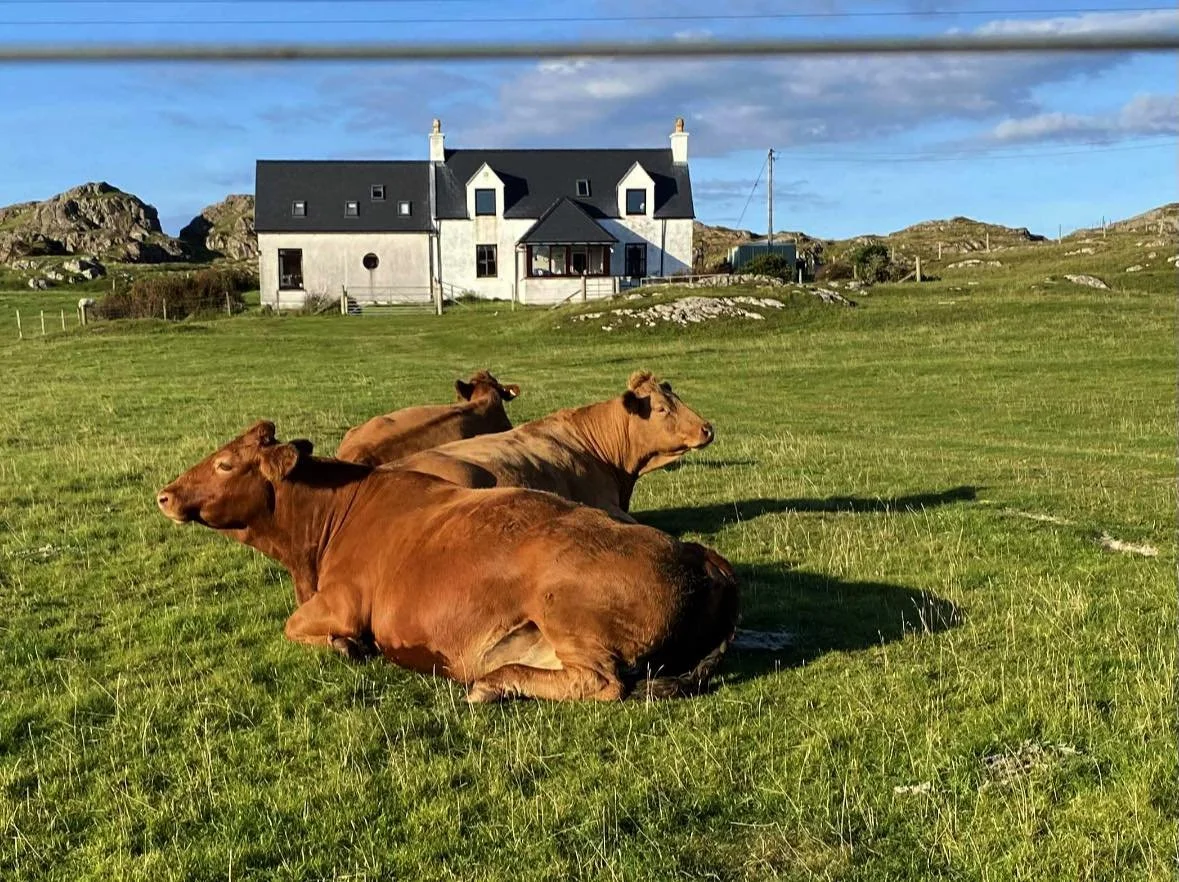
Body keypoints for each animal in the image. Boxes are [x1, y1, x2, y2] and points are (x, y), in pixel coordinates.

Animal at [156, 421, 739, 702]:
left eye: (225, 463)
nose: (165, 495)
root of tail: (699, 555)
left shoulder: (341, 603)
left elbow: (296, 626)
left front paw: (346, 646)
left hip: (569, 615)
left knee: (603, 683)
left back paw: (492, 684)